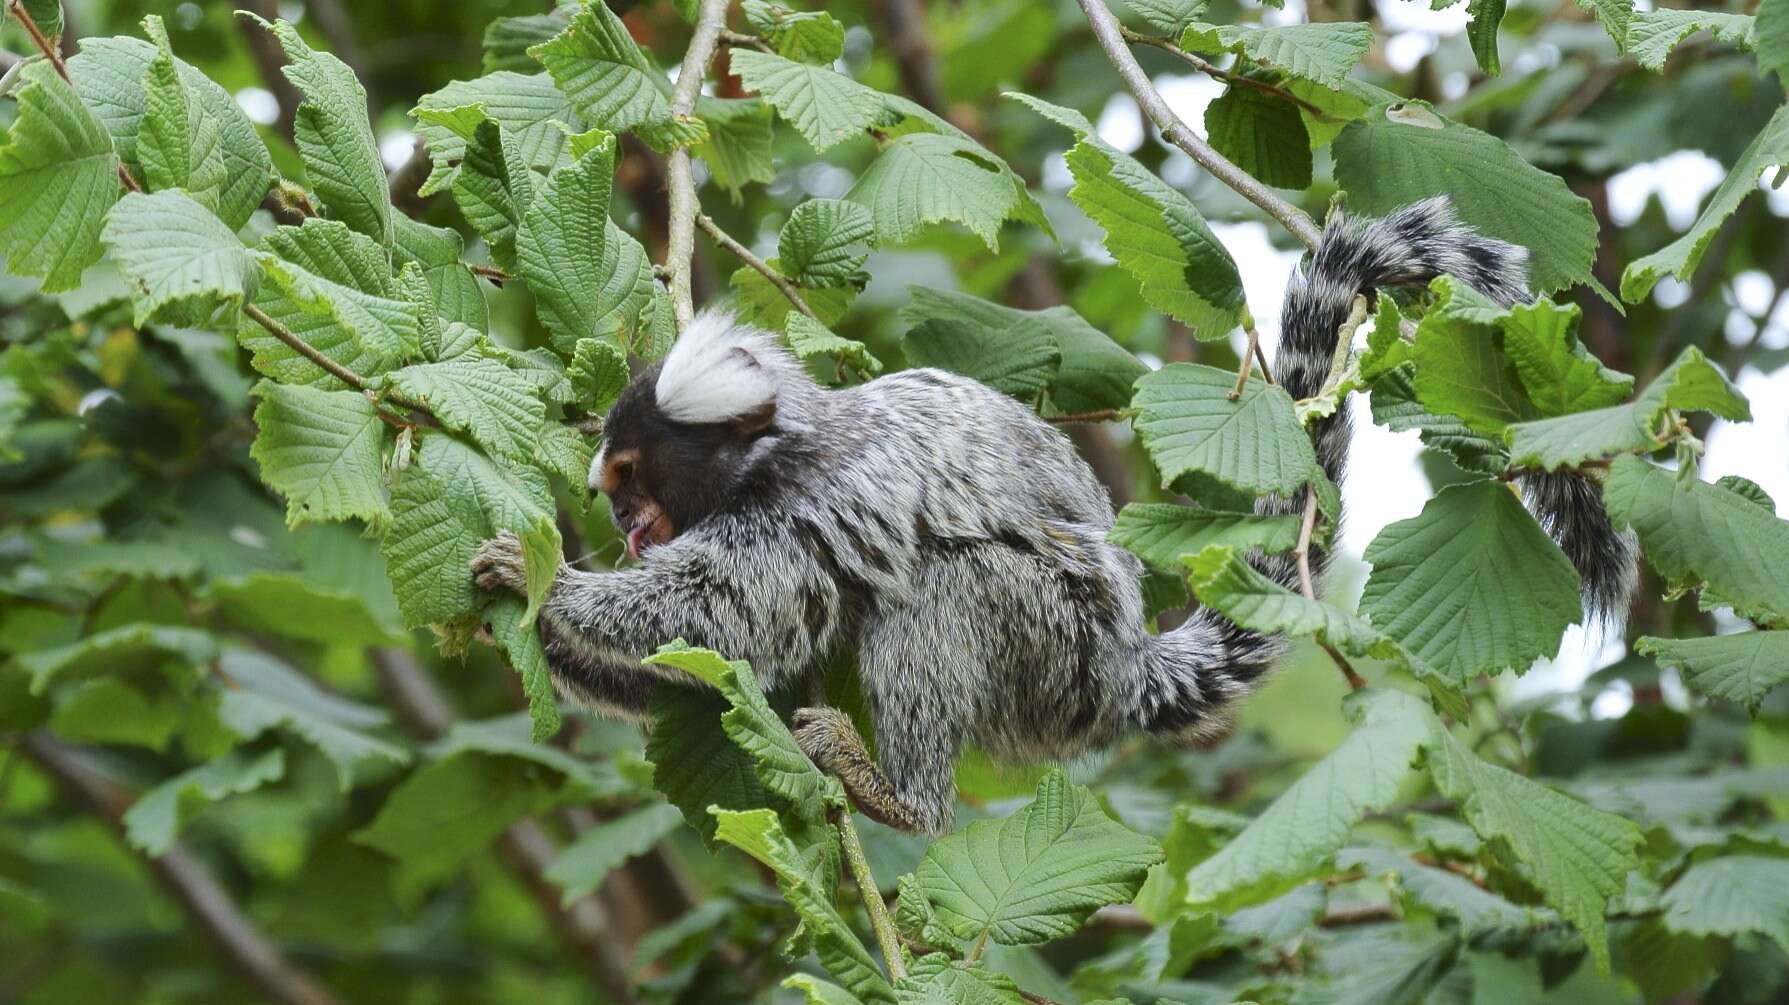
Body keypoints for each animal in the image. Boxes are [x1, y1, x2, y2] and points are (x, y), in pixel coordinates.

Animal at [472, 197, 1624, 829]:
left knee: (947, 588)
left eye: (631, 477)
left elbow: (721, 612)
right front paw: (522, 606)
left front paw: (556, 585)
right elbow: (696, 676)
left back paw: (899, 797)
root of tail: (1125, 666)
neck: (775, 450)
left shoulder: (818, 499)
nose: (621, 524)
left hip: (1051, 651)